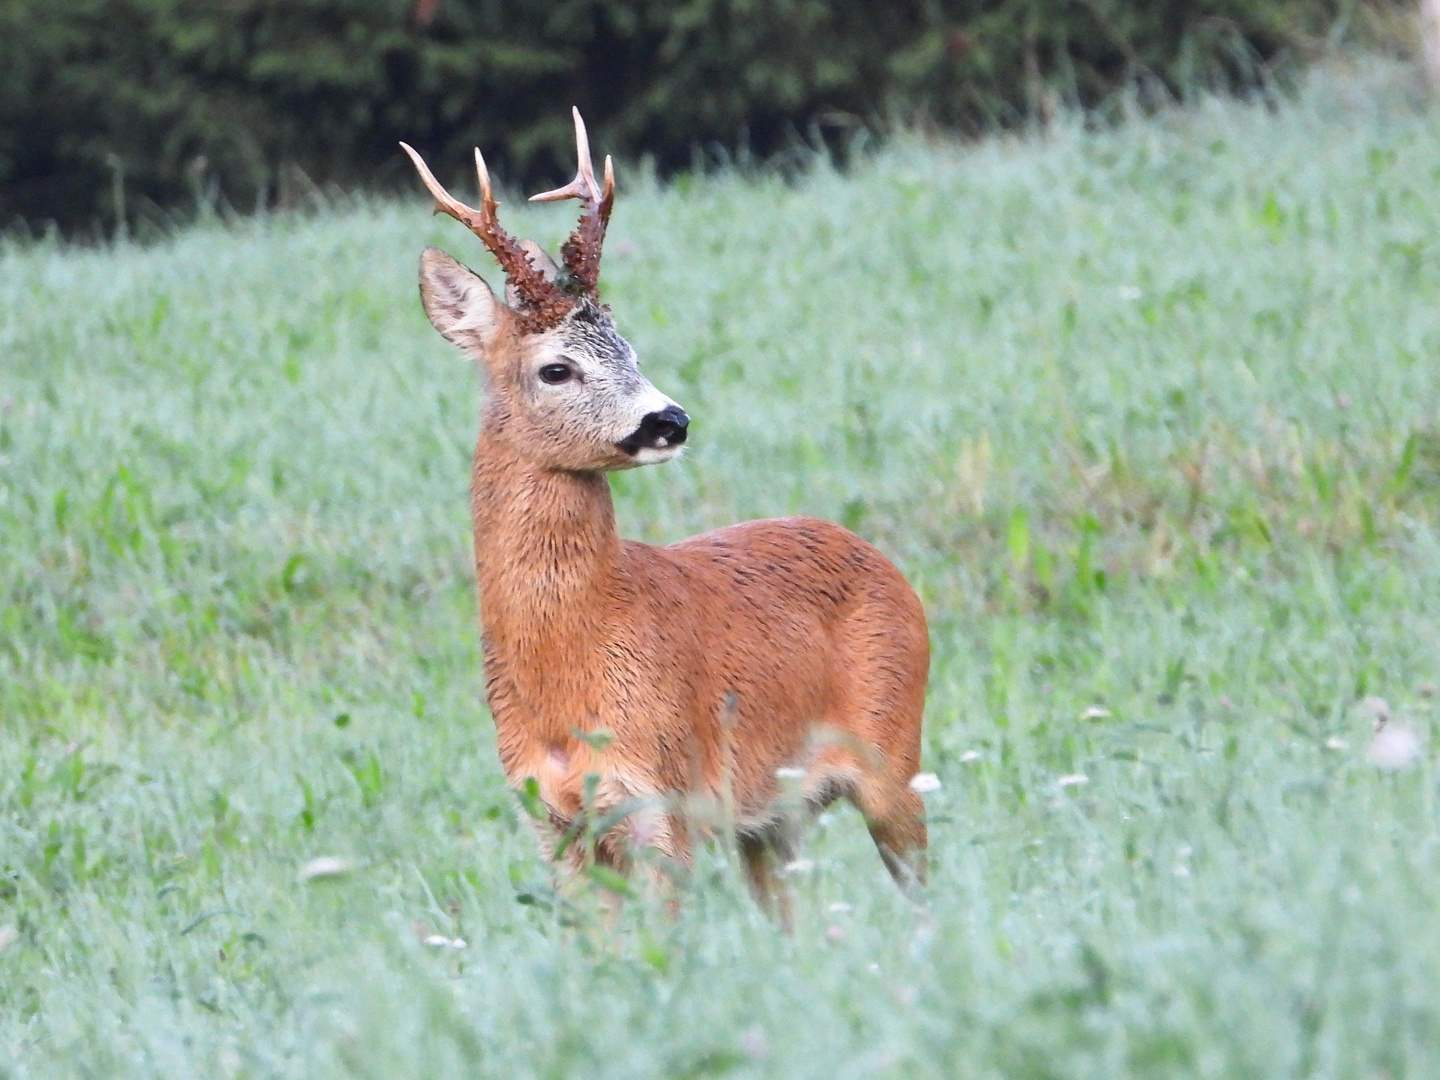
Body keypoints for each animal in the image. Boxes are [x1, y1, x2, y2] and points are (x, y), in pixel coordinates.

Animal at [400, 112, 927, 921]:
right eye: (557, 368)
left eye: (631, 350)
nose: (670, 421)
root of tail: (880, 559)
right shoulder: (551, 821)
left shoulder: (663, 799)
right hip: (772, 819)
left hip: (895, 756)